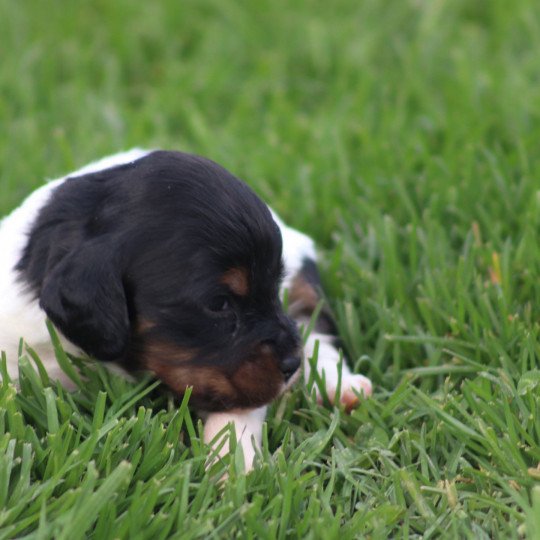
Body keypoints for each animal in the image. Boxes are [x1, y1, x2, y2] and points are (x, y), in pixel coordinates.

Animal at [0, 149, 374, 468]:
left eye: (272, 288)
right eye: (218, 304)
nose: (291, 366)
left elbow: (239, 410)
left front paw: (228, 465)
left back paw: (341, 387)